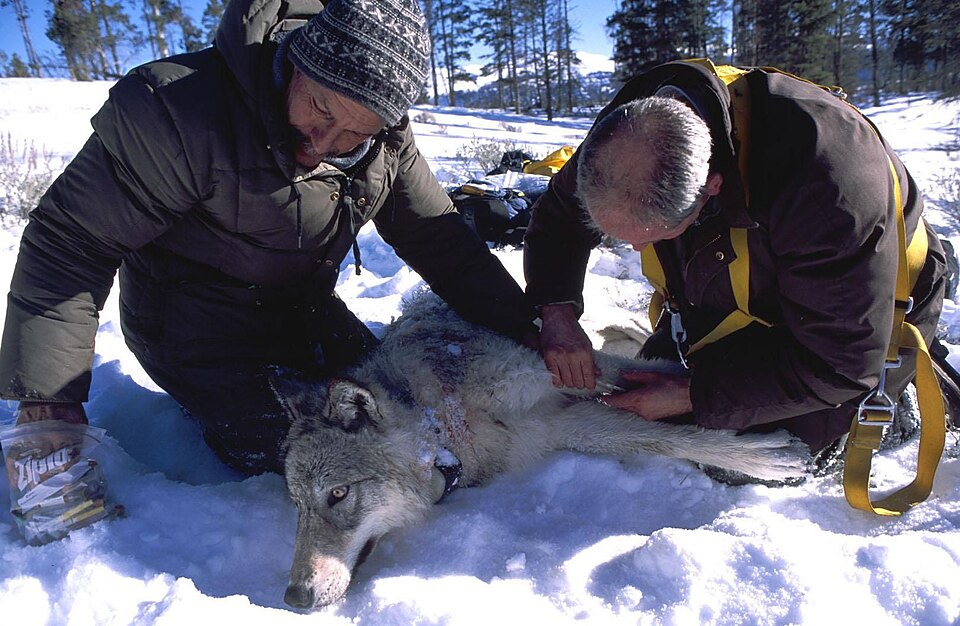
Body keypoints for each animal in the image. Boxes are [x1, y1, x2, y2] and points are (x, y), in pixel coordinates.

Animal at [275, 294, 811, 609]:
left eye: (338, 494)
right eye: (298, 506)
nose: (294, 598)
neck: (444, 424)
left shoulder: (562, 374)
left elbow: (670, 395)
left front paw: (766, 453)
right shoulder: (557, 425)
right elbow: (655, 434)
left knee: (624, 332)